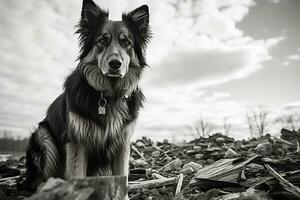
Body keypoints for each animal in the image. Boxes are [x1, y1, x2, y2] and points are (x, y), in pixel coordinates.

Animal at [24, 0, 150, 195]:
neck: (108, 95)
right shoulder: (77, 142)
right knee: (38, 178)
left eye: (126, 42)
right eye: (102, 40)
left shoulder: (122, 144)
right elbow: (77, 175)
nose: (115, 64)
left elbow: (122, 175)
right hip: (43, 137)